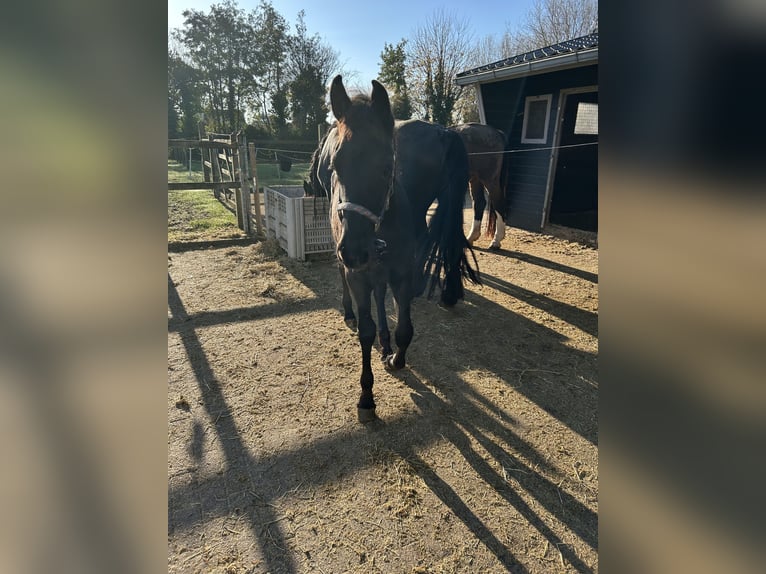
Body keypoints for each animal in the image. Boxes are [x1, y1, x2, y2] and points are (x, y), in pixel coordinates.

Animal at [306, 76, 479, 422]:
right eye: (337, 165)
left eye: (388, 166)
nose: (355, 250)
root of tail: (445, 131)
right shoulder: (358, 271)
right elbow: (367, 329)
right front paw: (366, 397)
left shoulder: (399, 270)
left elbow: (405, 329)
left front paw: (395, 357)